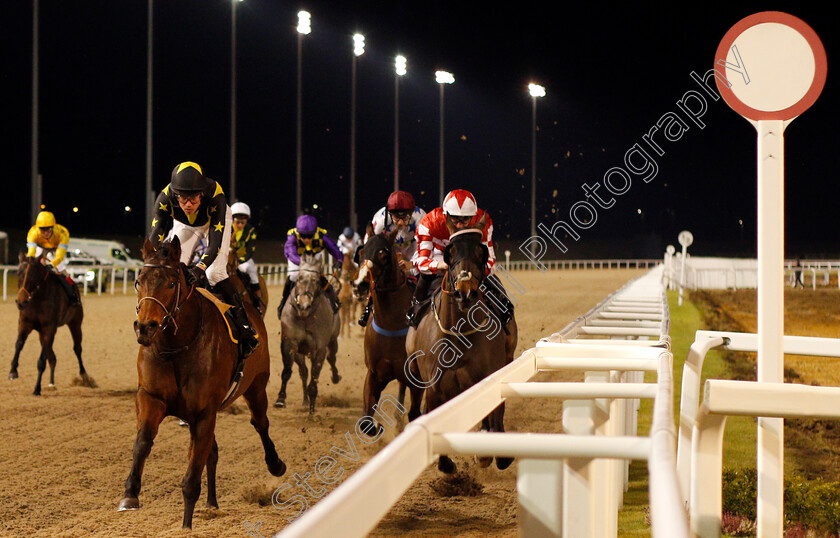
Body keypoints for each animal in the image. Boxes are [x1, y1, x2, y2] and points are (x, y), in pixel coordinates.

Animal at [9, 251, 88, 394]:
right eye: (18, 273)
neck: (38, 298)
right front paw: (13, 371)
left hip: (75, 324)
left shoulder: (49, 328)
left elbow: (41, 360)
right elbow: (18, 344)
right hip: (42, 333)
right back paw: (51, 383)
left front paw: (37, 388)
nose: (21, 302)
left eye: (33, 275)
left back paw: (84, 376)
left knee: (77, 349)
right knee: (52, 357)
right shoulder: (25, 323)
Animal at [119, 238, 286, 528]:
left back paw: (275, 463)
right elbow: (143, 441)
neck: (176, 346)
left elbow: (192, 473)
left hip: (256, 386)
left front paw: (186, 525)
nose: (145, 327)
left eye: (171, 283)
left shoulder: (204, 412)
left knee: (260, 423)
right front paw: (130, 494)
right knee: (213, 450)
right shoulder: (152, 397)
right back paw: (212, 502)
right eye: (139, 281)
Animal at [276, 251, 342, 410]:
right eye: (299, 278)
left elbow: (315, 376)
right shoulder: (290, 344)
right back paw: (305, 400)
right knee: (303, 372)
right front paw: (281, 398)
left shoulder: (319, 349)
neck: (305, 317)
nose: (304, 305)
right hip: (300, 353)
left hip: (333, 340)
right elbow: (287, 371)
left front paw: (312, 408)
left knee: (331, 358)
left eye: (317, 281)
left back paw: (335, 377)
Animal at [352, 224, 424, 434]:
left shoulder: (417, 380)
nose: (359, 285)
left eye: (383, 255)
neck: (391, 326)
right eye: (361, 253)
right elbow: (365, 421)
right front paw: (378, 425)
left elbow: (416, 413)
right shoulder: (374, 374)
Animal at [404, 216, 516, 472]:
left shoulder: (488, 379)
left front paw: (487, 452)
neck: (458, 337)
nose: (465, 292)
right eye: (451, 251)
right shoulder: (434, 387)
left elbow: (492, 415)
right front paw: (447, 464)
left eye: (480, 251)